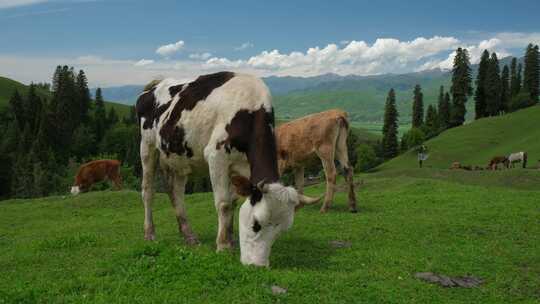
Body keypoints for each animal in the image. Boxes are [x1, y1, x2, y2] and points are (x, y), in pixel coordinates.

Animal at [137, 71, 318, 266]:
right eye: (256, 224)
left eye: (281, 231)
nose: (258, 265)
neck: (249, 110)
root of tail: (156, 85)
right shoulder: (217, 156)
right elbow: (224, 203)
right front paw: (223, 245)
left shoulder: (241, 167)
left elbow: (233, 202)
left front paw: (231, 240)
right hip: (147, 146)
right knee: (148, 191)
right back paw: (149, 233)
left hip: (178, 157)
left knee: (175, 192)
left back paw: (189, 236)